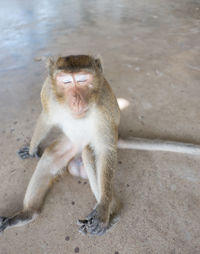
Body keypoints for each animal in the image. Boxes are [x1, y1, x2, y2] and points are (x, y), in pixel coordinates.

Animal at [0, 55, 200, 236]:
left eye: (82, 80)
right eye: (66, 81)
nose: (76, 99)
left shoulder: (104, 105)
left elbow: (105, 150)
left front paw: (104, 210)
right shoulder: (48, 93)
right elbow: (46, 118)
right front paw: (32, 149)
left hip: (100, 140)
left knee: (89, 151)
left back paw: (113, 214)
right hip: (70, 143)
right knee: (51, 155)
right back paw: (27, 214)